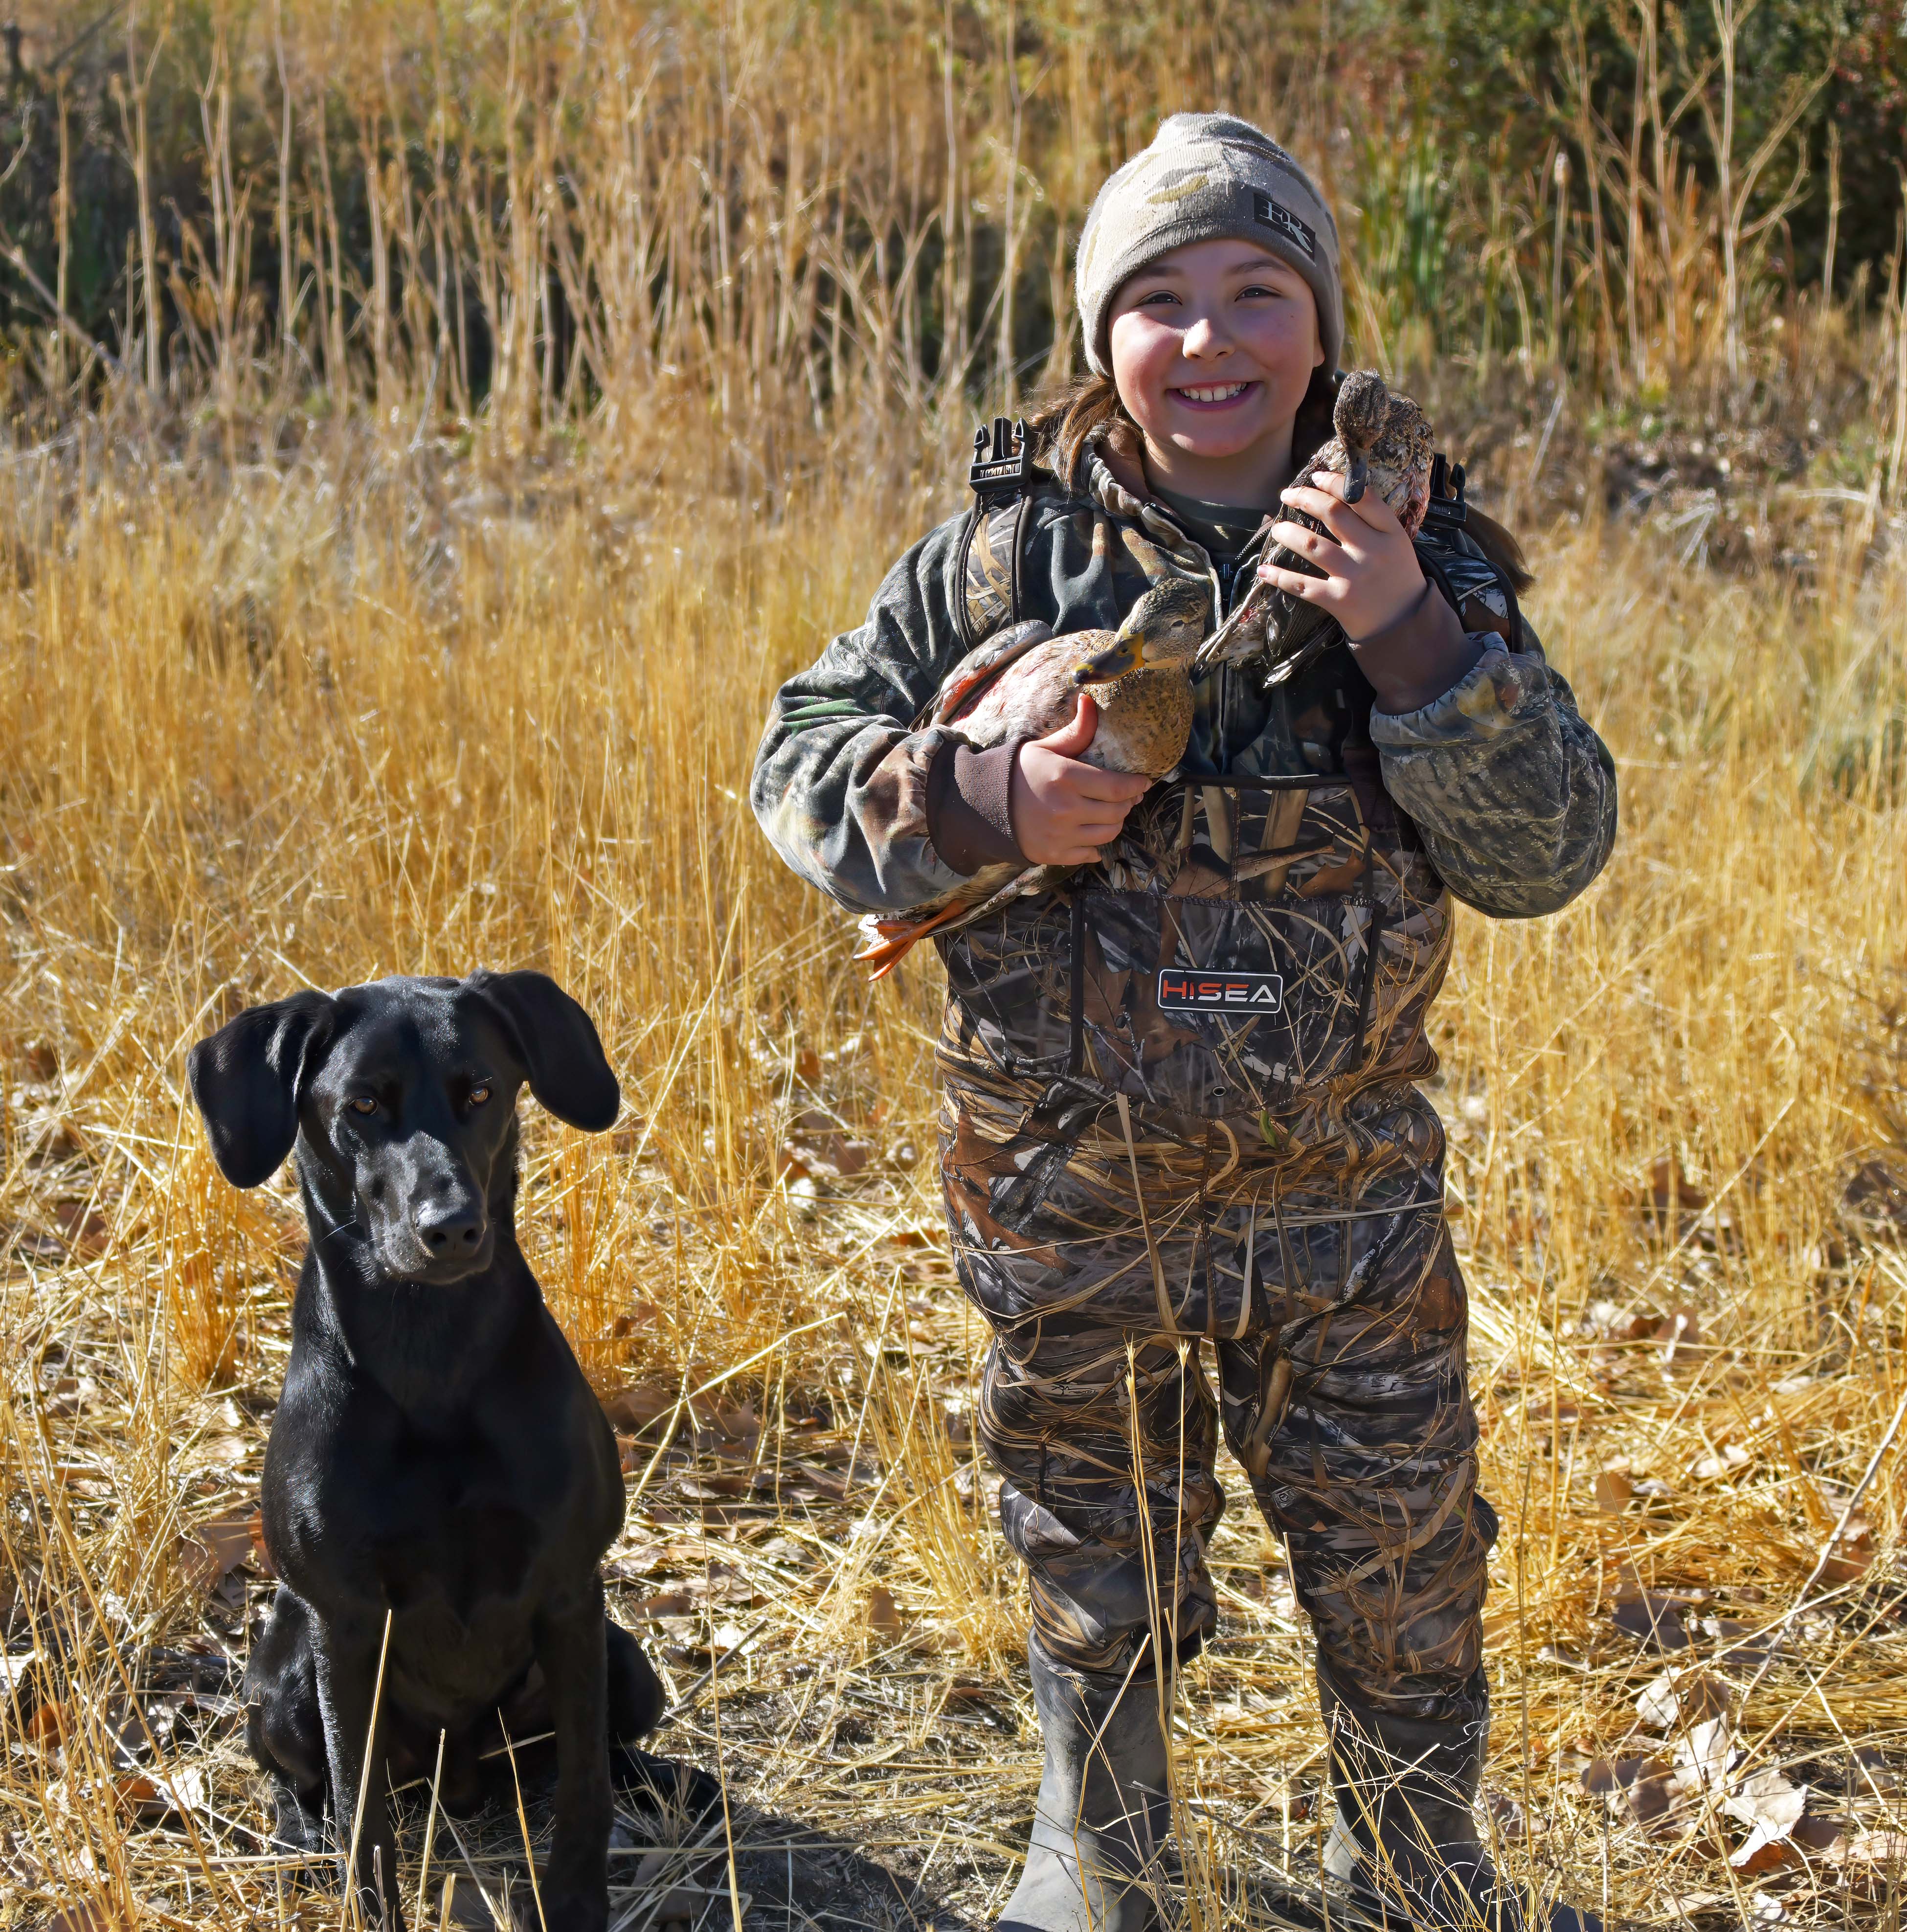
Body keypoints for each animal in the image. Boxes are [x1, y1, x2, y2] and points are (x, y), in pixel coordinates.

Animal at [186, 973, 664, 1924]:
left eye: (480, 1091)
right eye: (363, 1104)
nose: (452, 1226)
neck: (431, 1355)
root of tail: (465, 1786)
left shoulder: (570, 1589)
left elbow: (584, 1792)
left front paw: (577, 1902)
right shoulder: (345, 1622)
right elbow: (361, 1810)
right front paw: (366, 1903)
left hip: (626, 1662)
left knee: (600, 1755)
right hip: (280, 1675)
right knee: (304, 1786)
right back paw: (301, 1842)